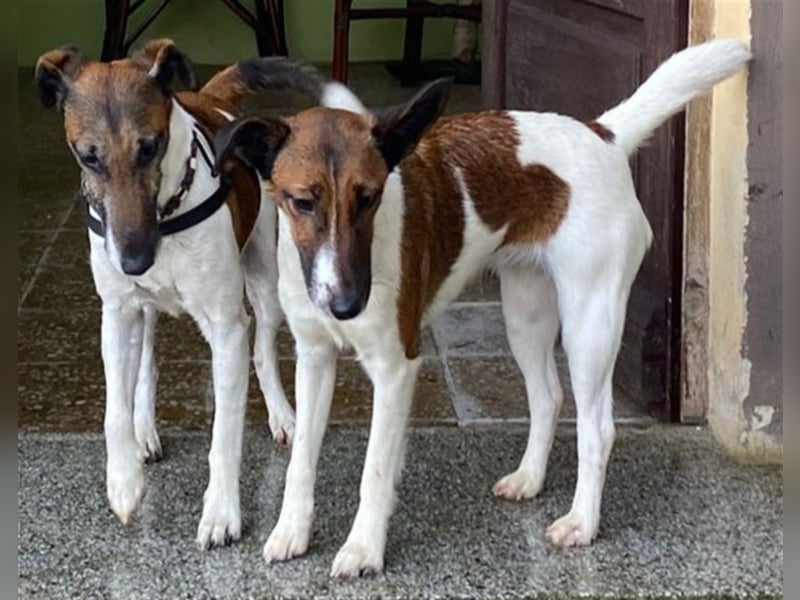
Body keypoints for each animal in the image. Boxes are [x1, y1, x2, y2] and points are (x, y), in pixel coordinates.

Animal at [32, 38, 308, 548]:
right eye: (88, 157)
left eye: (150, 146)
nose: (135, 261)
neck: (166, 215)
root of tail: (208, 97)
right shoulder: (117, 312)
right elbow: (114, 408)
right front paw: (123, 478)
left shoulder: (227, 326)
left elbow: (225, 433)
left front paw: (221, 510)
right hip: (144, 313)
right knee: (146, 365)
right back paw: (144, 429)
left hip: (264, 280)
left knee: (263, 350)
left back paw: (282, 415)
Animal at [217, 39, 752, 576]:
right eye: (301, 202)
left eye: (368, 198)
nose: (346, 305)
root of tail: (603, 134)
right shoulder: (314, 357)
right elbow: (302, 459)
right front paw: (292, 531)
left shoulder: (395, 367)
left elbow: (375, 470)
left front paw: (364, 548)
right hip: (524, 314)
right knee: (548, 397)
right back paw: (529, 479)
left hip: (590, 322)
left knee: (597, 428)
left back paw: (582, 522)